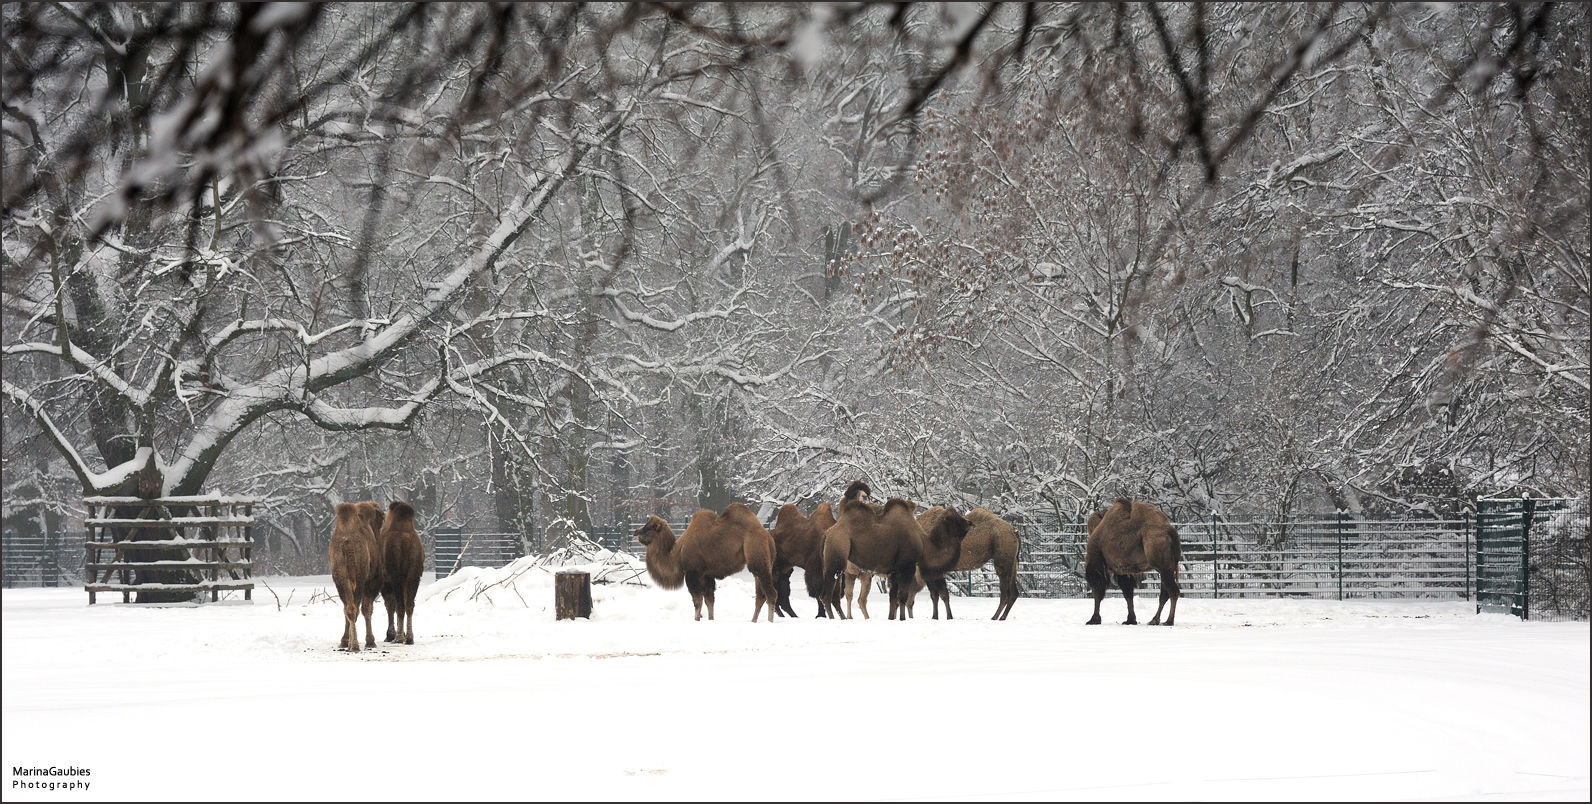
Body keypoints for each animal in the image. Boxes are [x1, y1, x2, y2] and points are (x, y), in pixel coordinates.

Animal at [326, 503, 382, 652]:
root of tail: (348, 543)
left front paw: (344, 641)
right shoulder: (371, 583)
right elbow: (367, 609)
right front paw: (370, 642)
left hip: (341, 577)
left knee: (349, 608)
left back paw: (351, 643)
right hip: (360, 578)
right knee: (356, 608)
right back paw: (355, 645)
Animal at [374, 499, 423, 643]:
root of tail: (406, 542)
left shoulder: (386, 582)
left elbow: (390, 605)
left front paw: (390, 635)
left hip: (397, 576)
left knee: (400, 605)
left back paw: (399, 637)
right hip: (414, 575)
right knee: (409, 604)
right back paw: (410, 637)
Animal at [636, 503, 780, 620]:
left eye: (647, 529)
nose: (635, 531)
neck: (677, 553)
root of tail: (768, 537)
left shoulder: (693, 572)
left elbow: (697, 601)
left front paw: (696, 619)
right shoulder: (707, 574)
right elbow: (709, 600)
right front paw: (711, 620)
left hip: (757, 555)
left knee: (771, 593)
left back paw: (769, 621)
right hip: (763, 561)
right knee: (760, 595)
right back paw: (753, 621)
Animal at [1082, 496, 1184, 627]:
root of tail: (1171, 531)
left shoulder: (1099, 564)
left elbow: (1098, 591)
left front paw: (1094, 619)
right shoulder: (1123, 569)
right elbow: (1128, 593)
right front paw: (1130, 620)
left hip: (1162, 563)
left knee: (1173, 591)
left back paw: (1168, 621)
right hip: (1168, 567)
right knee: (1164, 593)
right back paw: (1154, 620)